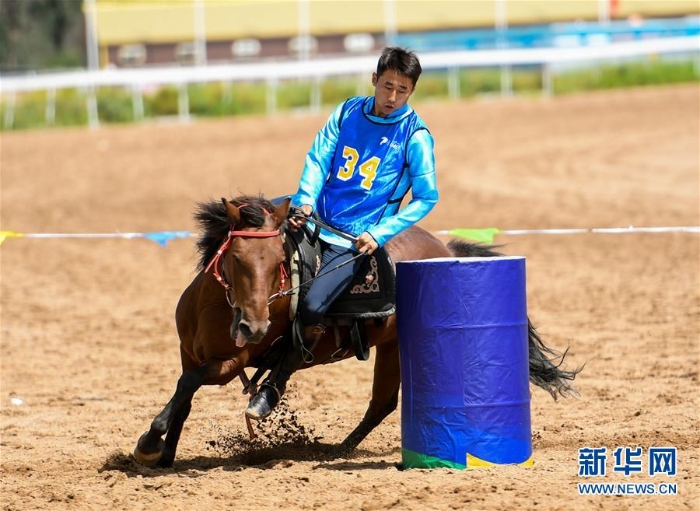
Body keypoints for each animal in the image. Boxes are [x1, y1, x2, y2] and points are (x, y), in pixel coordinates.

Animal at [134, 195, 576, 468]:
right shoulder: (186, 351)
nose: (254, 326)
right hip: (393, 347)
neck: (215, 308)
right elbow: (183, 395)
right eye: (237, 257)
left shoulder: (229, 364)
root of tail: (445, 251)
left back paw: (330, 452)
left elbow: (189, 383)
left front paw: (149, 444)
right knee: (382, 403)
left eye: (279, 260)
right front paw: (165, 455)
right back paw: (338, 450)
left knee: (381, 404)